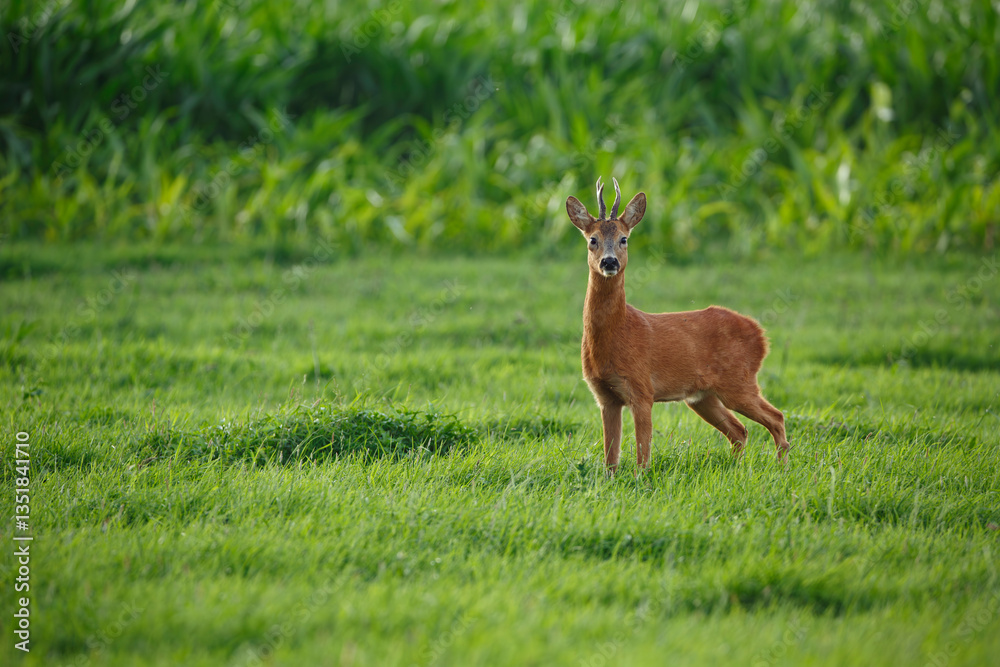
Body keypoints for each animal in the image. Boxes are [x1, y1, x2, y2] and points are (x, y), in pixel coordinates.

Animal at [566, 177, 789, 473]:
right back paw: (736, 469)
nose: (609, 261)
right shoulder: (604, 396)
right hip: (702, 396)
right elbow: (610, 458)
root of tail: (761, 335)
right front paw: (610, 479)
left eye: (624, 238)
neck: (619, 333)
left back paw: (782, 467)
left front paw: (640, 478)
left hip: (738, 381)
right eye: (593, 239)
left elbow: (643, 452)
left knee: (776, 417)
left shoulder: (641, 388)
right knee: (739, 430)